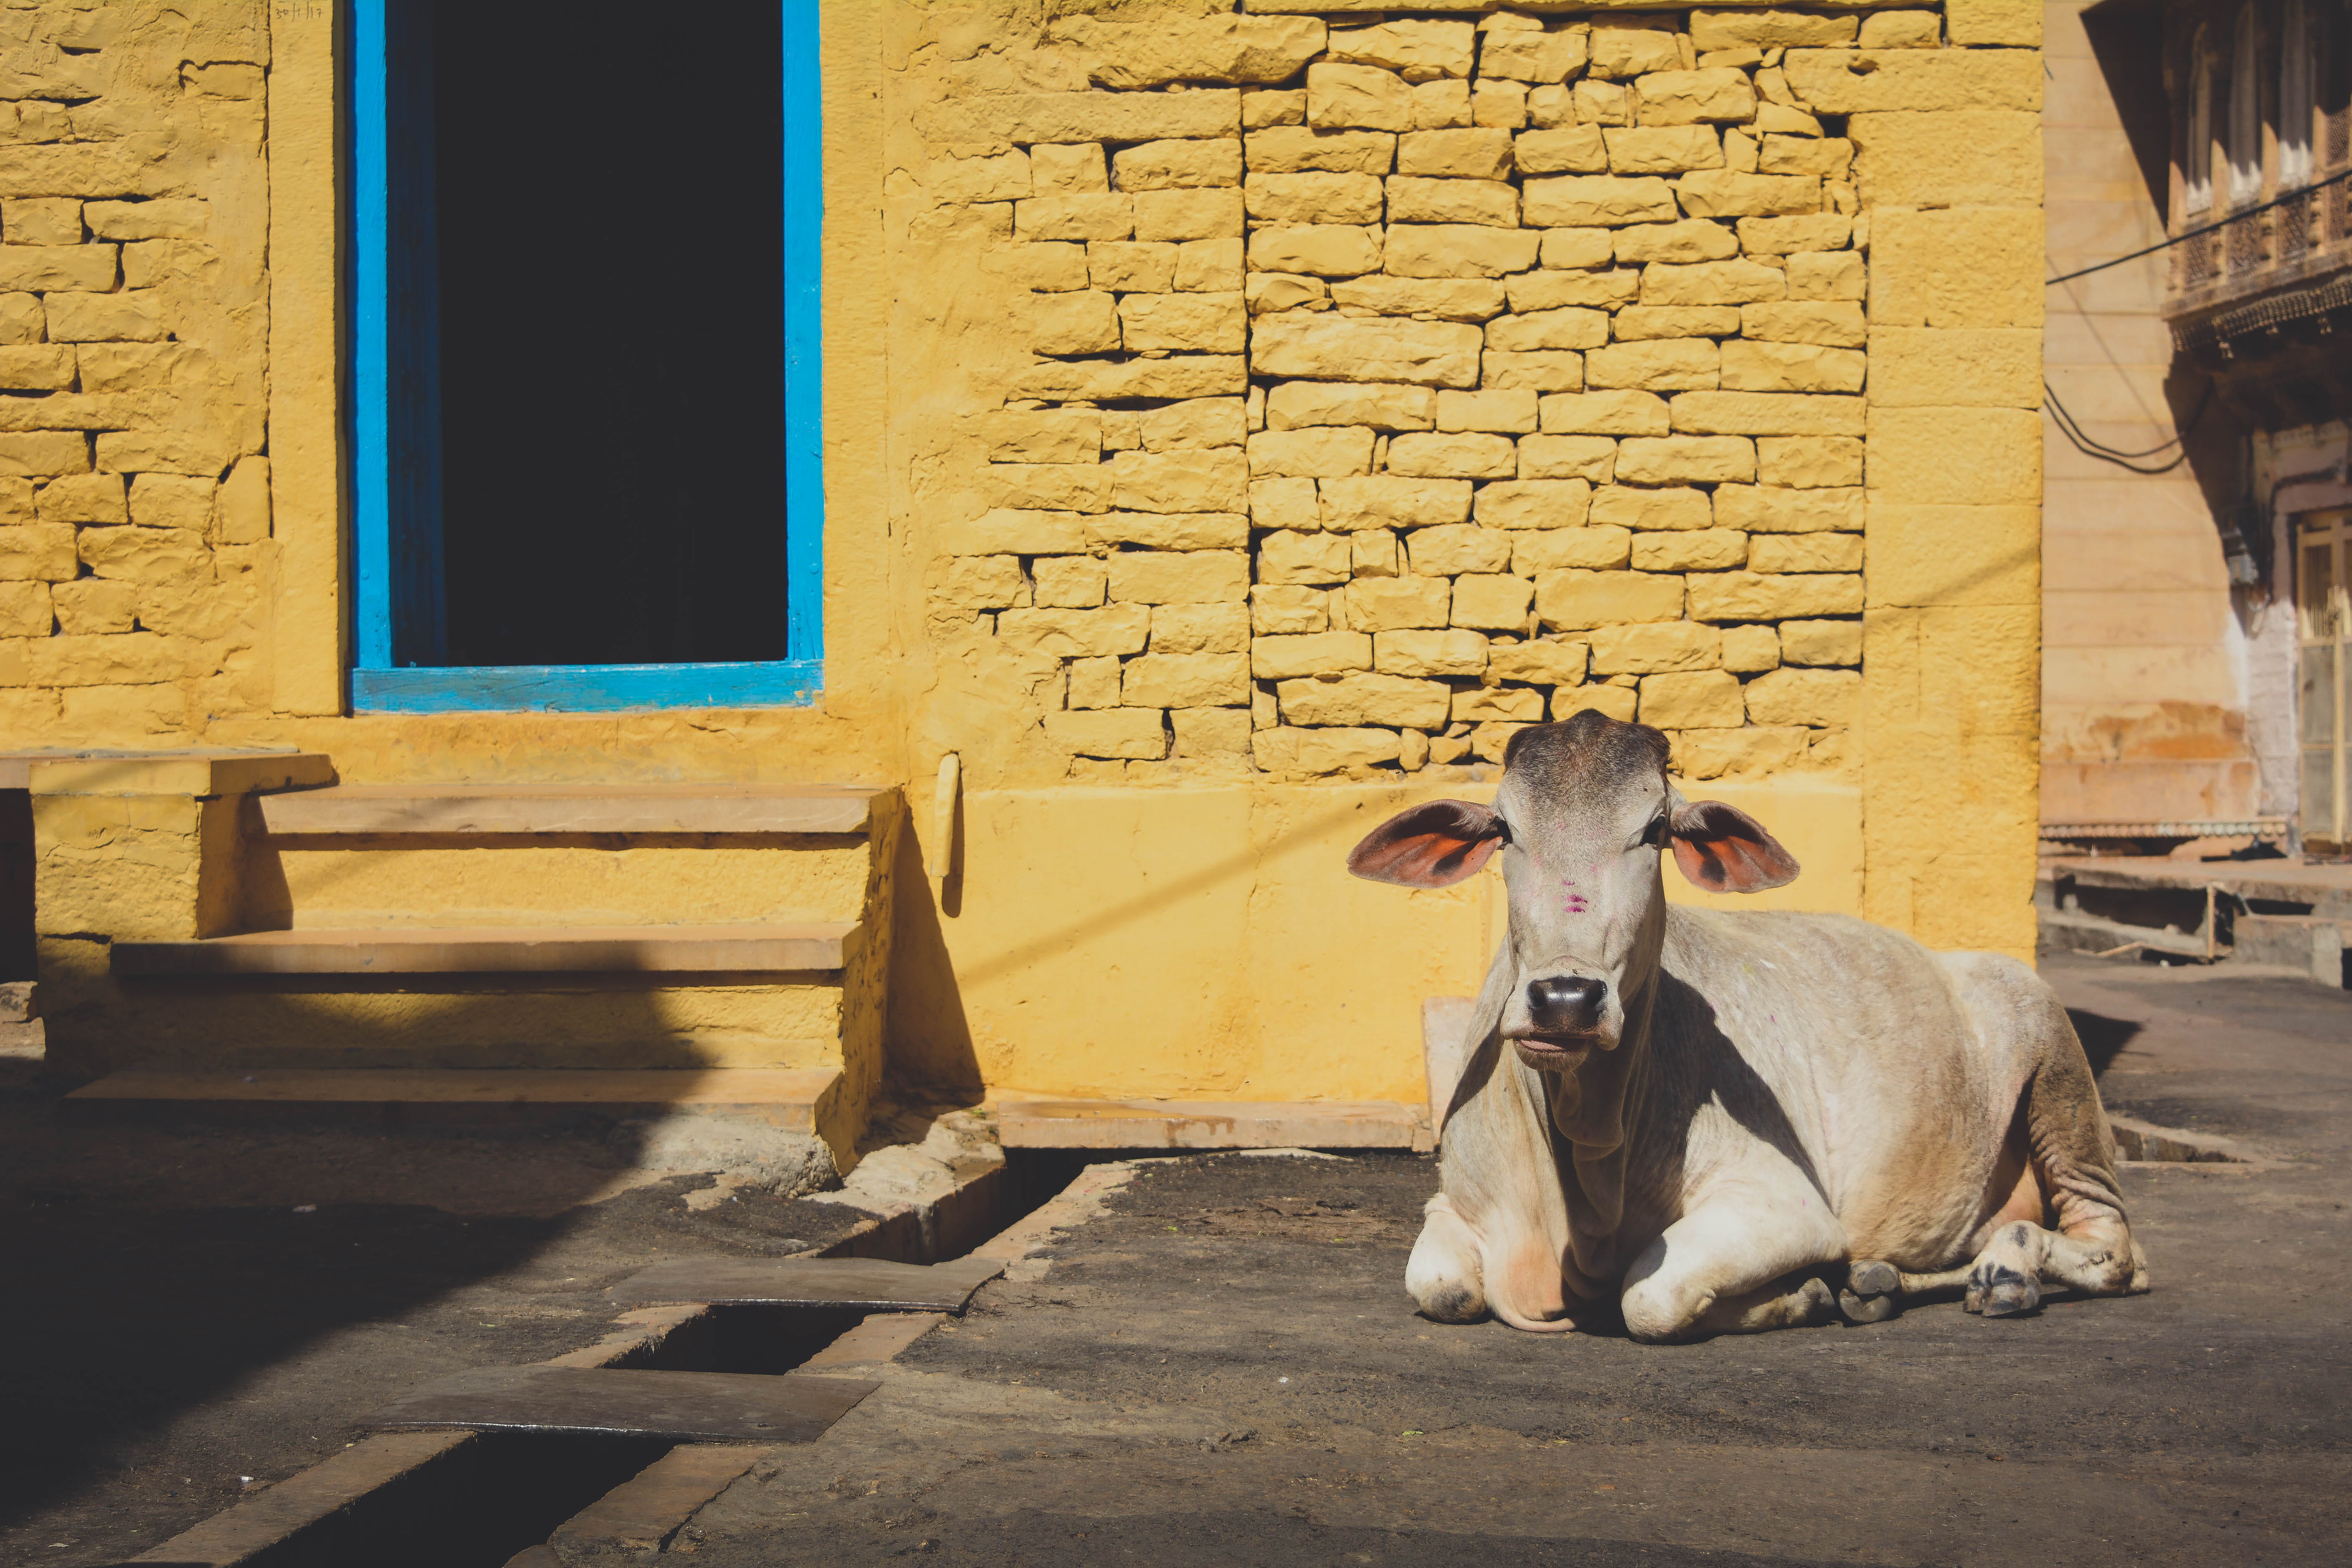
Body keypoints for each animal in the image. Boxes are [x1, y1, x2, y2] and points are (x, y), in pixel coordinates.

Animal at [1348, 711, 2148, 1342]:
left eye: (1655, 831)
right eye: (1506, 829)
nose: (1565, 998)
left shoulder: (1787, 1207)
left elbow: (1650, 1296)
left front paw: (1798, 1293)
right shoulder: (1453, 1201)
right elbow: (1442, 1286)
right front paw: (1829, 1287)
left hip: (2057, 1068)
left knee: (2116, 1251)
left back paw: (2005, 1271)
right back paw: (1879, 1280)